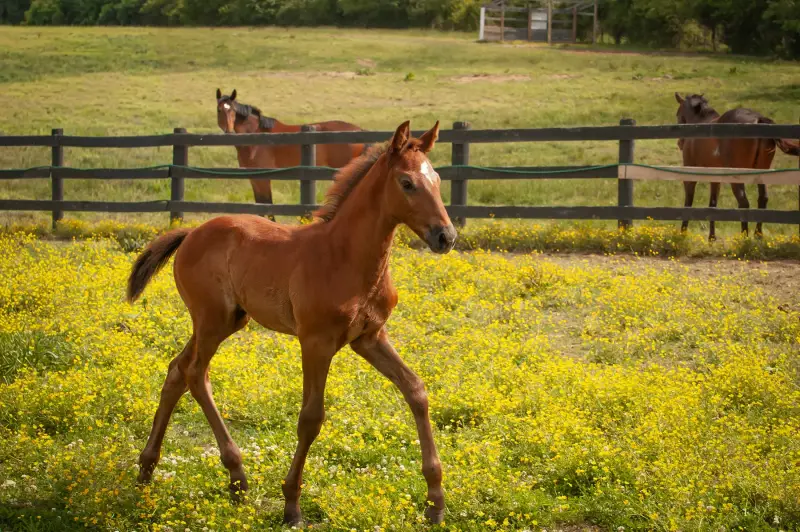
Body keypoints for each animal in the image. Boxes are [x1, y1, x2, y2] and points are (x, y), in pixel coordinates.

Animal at [128, 120, 456, 526]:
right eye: (407, 182)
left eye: (437, 179)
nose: (446, 236)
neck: (346, 256)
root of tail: (191, 233)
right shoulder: (316, 341)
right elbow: (311, 418)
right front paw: (291, 505)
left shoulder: (370, 337)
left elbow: (416, 391)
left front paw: (435, 501)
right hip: (211, 320)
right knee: (195, 374)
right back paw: (236, 476)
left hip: (227, 321)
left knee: (177, 370)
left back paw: (148, 469)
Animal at [216, 89, 367, 221]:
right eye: (219, 110)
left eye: (232, 110)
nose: (229, 131)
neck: (256, 137)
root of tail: (359, 130)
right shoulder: (254, 178)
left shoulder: (264, 178)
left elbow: (267, 206)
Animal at [675, 93, 800, 239]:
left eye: (678, 114)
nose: (680, 143)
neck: (699, 123)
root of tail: (758, 119)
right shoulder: (715, 177)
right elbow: (712, 205)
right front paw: (712, 237)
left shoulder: (690, 174)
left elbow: (688, 202)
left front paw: (683, 233)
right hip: (761, 172)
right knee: (762, 199)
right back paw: (757, 235)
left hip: (738, 176)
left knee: (743, 202)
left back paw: (744, 237)